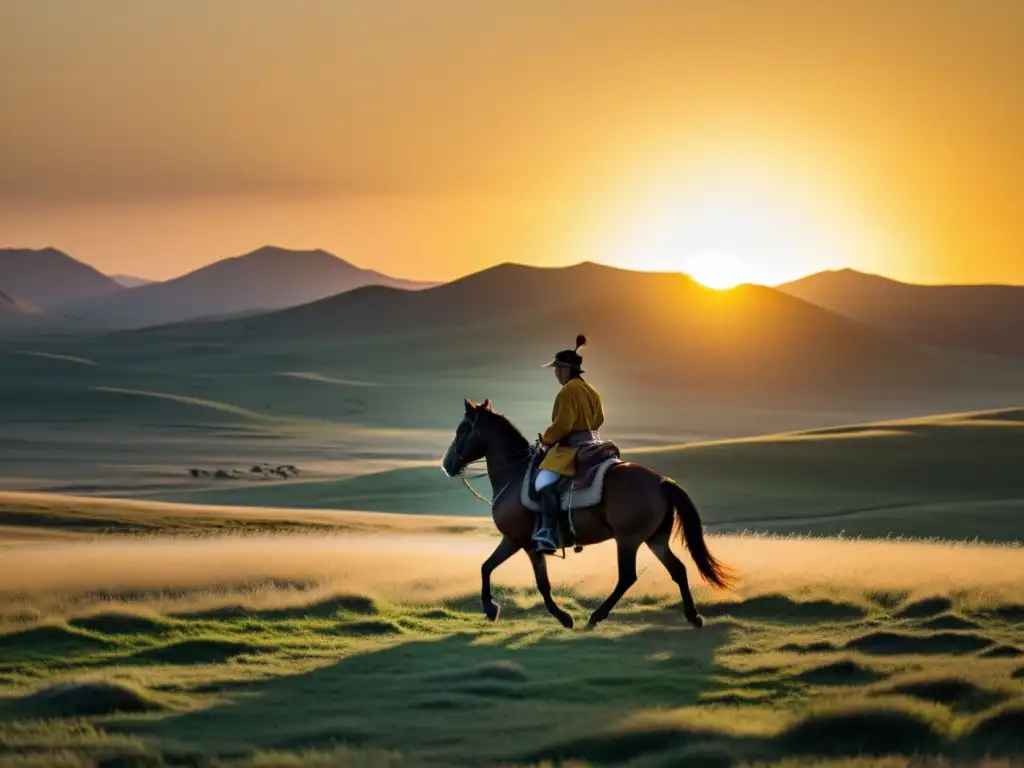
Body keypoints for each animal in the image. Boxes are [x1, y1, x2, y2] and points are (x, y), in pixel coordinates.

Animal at [442, 399, 737, 626]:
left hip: (628, 540)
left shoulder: (521, 542)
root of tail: (662, 482)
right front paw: (493, 608)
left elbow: (532, 580)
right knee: (678, 570)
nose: (447, 464)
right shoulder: (518, 542)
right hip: (655, 539)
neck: (514, 474)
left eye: (462, 430)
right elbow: (489, 567)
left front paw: (560, 617)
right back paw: (692, 616)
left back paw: (596, 616)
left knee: (627, 577)